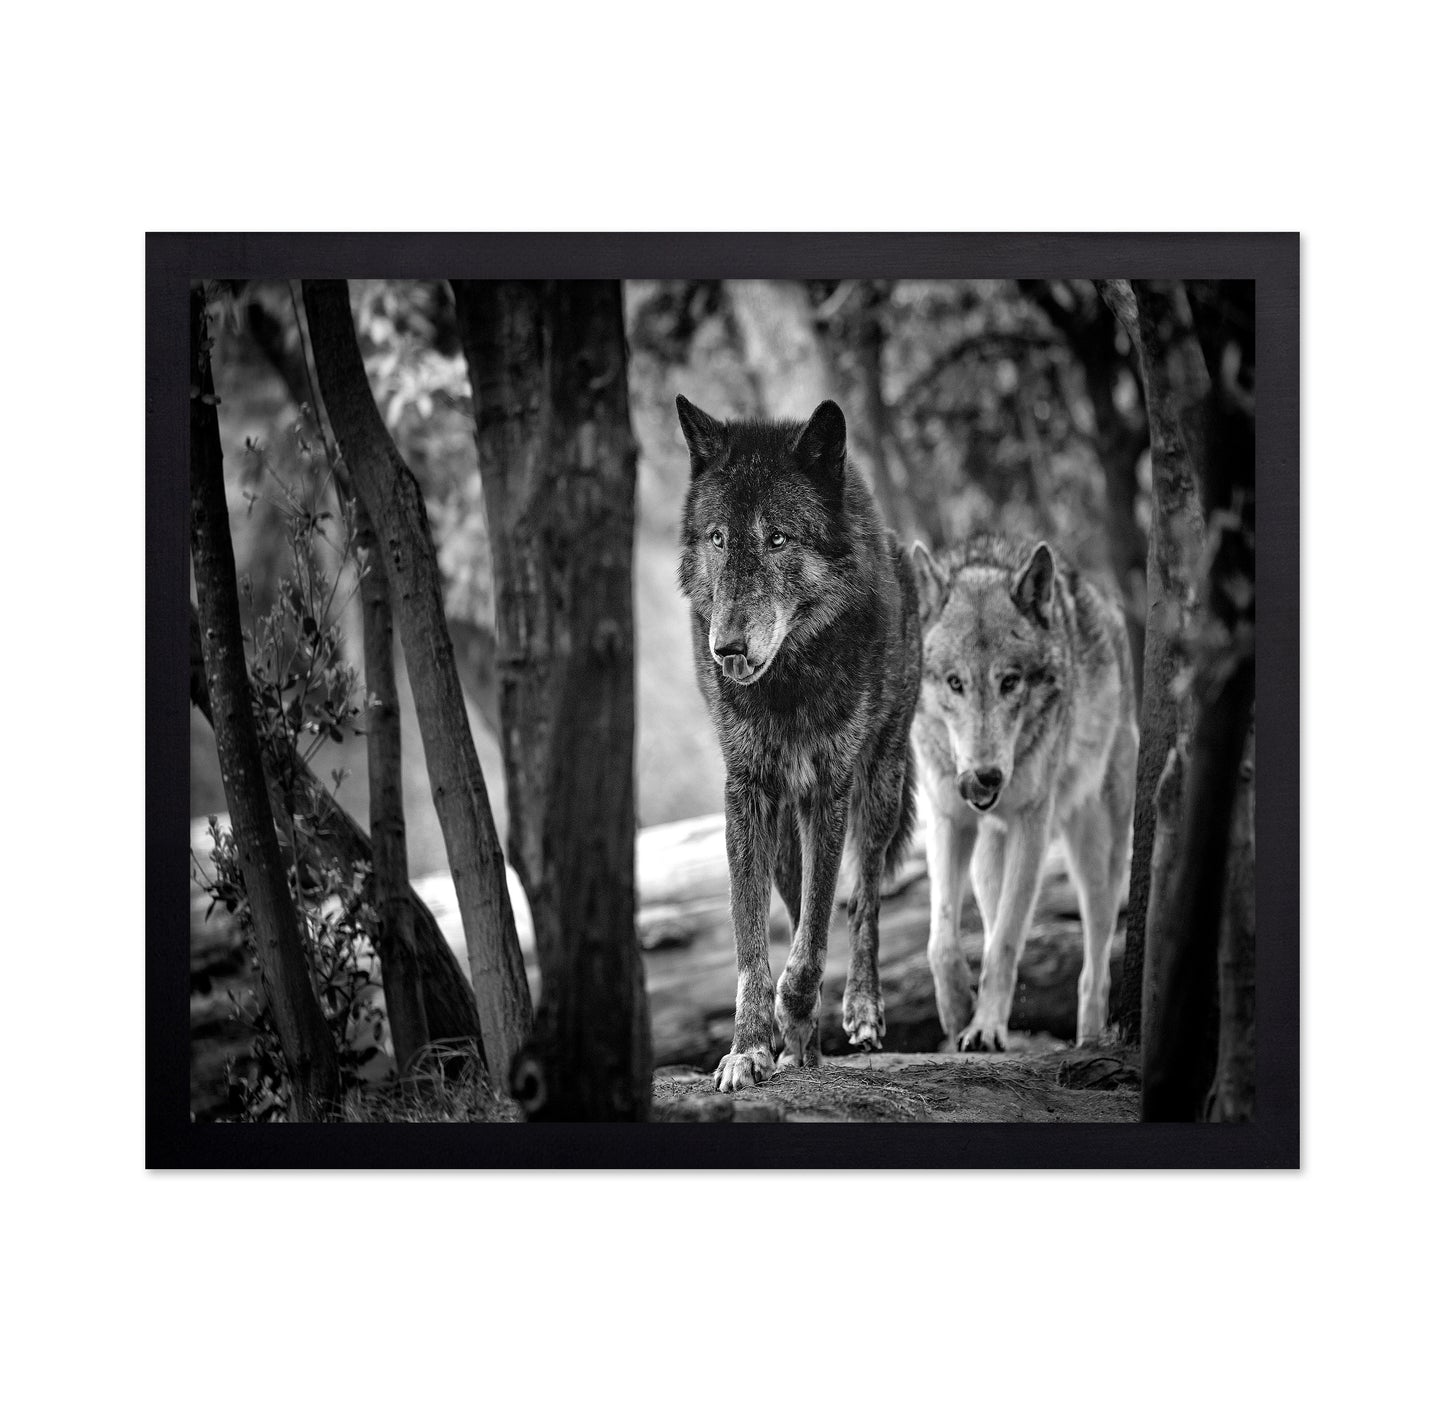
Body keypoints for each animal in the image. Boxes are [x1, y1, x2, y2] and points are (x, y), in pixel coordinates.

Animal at [676, 395, 921, 1091]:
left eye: (777, 538)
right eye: (718, 538)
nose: (726, 648)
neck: (785, 686)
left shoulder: (829, 791)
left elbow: (814, 937)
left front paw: (793, 1011)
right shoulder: (746, 791)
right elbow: (751, 943)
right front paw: (750, 1047)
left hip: (880, 784)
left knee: (863, 899)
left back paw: (859, 1009)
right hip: (784, 831)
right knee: (794, 903)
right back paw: (800, 1047)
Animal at [910, 533, 1138, 1051]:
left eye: (1010, 681)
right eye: (955, 683)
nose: (985, 778)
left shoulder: (1031, 824)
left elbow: (1008, 941)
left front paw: (986, 1026)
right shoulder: (946, 819)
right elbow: (941, 940)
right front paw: (959, 1012)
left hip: (1096, 856)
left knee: (1095, 966)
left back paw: (1090, 1040)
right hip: (986, 860)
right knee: (990, 917)